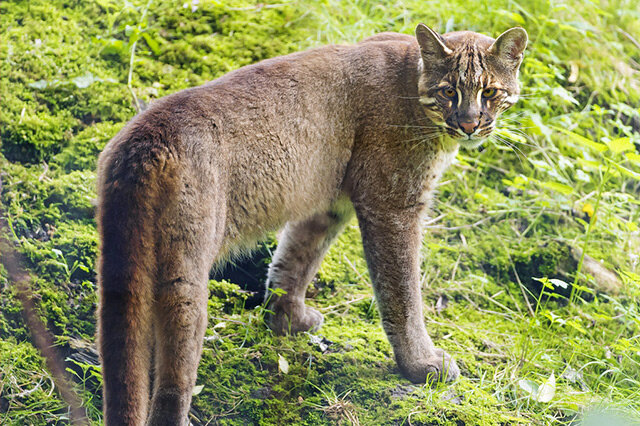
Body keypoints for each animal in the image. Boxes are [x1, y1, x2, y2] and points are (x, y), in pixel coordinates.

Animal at [95, 25, 524, 424]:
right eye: (449, 91)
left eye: (489, 92)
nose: (469, 124)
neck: (415, 85)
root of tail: (146, 138)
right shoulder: (392, 207)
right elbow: (402, 294)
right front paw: (421, 363)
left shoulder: (328, 203)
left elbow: (296, 256)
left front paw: (286, 317)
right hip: (185, 268)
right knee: (174, 362)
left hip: (118, 264)